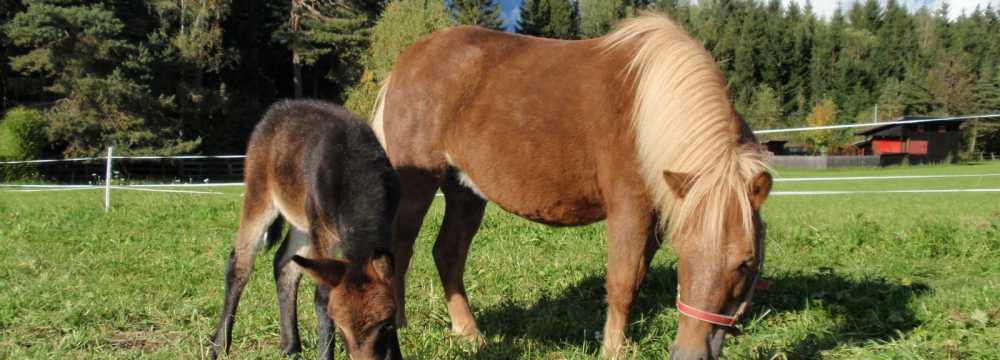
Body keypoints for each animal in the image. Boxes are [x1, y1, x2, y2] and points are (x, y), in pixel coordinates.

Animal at [210, 99, 402, 360]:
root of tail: (282, 107)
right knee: (239, 264)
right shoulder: (323, 231)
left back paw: (290, 346)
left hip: (302, 224)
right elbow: (322, 297)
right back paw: (219, 346)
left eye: (386, 326)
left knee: (284, 264)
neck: (358, 174)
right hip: (260, 197)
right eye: (340, 327)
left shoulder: (387, 227)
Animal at [374, 12, 772, 358]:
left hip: (465, 189)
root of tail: (406, 60)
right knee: (401, 247)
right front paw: (613, 350)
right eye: (684, 252)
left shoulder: (658, 215)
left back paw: (470, 334)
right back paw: (398, 327)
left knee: (449, 253)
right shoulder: (630, 207)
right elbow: (622, 282)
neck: (650, 112)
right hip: (418, 182)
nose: (690, 353)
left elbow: (637, 277)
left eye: (746, 263)